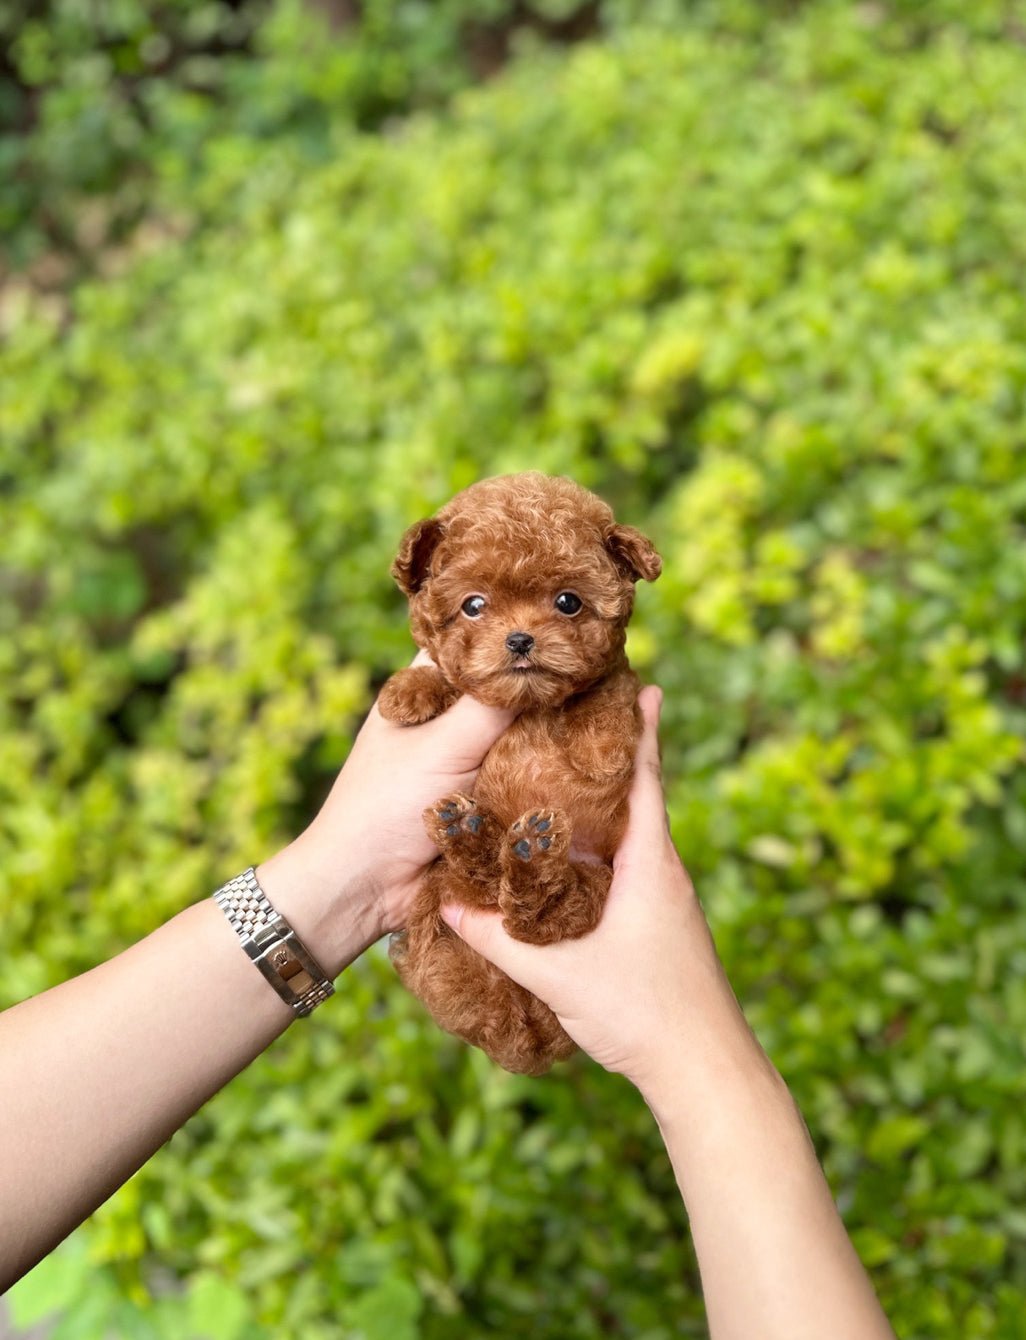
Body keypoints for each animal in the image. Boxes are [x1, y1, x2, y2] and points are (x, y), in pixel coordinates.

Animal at [380, 474, 664, 1077]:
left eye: (568, 602)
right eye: (473, 606)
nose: (519, 640)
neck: (529, 706)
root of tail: (521, 1030)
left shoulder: (613, 683)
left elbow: (603, 693)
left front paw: (598, 745)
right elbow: (446, 676)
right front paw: (407, 692)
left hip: (595, 884)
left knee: (535, 918)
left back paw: (528, 856)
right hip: (439, 894)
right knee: (485, 882)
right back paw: (472, 835)